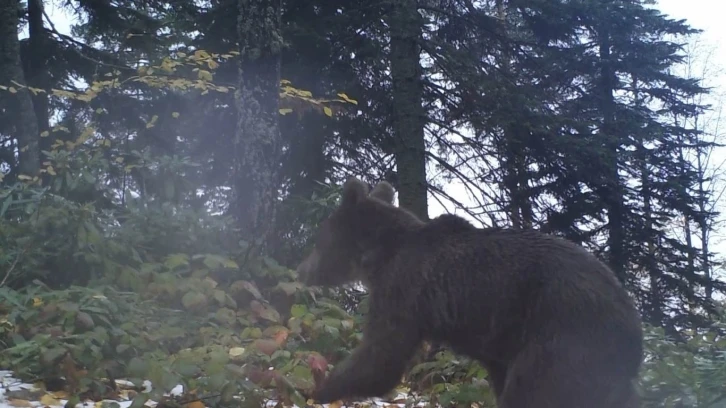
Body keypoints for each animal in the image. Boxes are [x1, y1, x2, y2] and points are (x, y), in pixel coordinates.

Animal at [298, 177, 644, 406]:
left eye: (319, 239)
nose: (304, 270)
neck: (379, 257)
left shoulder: (402, 290)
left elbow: (380, 358)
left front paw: (319, 389)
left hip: (565, 335)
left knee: (533, 390)